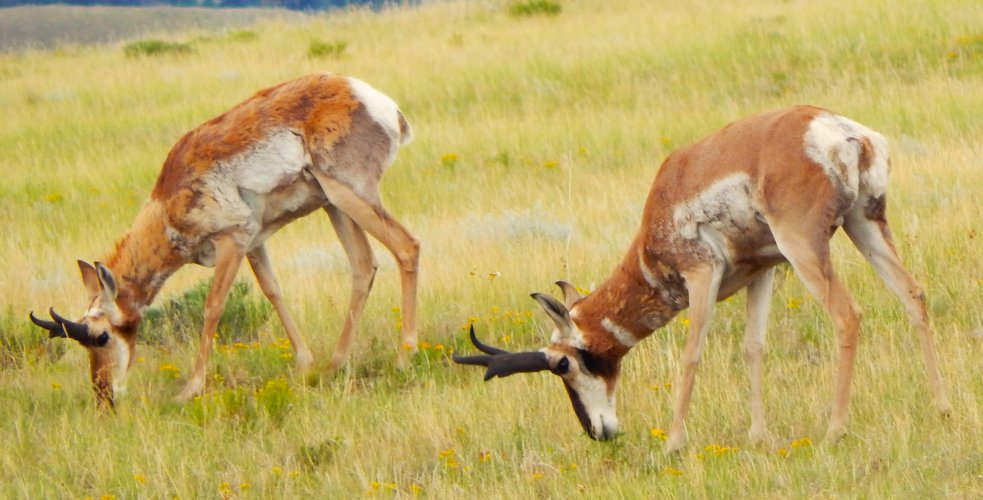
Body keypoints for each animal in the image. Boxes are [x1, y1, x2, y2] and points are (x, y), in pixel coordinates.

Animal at [28, 72, 420, 404]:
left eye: (101, 336)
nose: (104, 395)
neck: (168, 200)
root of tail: (371, 98)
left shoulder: (232, 240)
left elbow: (212, 306)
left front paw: (190, 388)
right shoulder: (254, 241)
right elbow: (272, 290)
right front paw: (305, 363)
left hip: (349, 196)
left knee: (406, 246)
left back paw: (404, 357)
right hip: (334, 205)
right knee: (363, 265)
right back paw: (335, 363)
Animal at [454, 106, 952, 454]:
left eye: (563, 364)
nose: (599, 433)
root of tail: (842, 132)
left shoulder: (702, 275)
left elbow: (691, 355)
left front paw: (674, 442)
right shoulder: (762, 271)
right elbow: (753, 348)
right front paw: (758, 435)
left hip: (807, 247)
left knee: (848, 315)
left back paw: (835, 429)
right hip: (864, 224)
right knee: (913, 294)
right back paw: (941, 407)